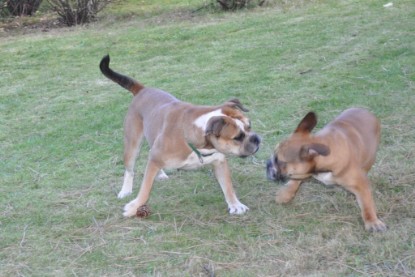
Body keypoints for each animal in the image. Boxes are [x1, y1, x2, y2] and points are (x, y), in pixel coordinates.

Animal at [100, 55, 260, 217]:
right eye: (237, 137)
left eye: (249, 125)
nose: (256, 139)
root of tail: (142, 90)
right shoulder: (155, 157)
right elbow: (145, 190)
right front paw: (133, 208)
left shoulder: (219, 161)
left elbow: (227, 186)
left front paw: (235, 205)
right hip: (132, 144)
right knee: (129, 168)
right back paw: (125, 190)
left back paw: (160, 174)